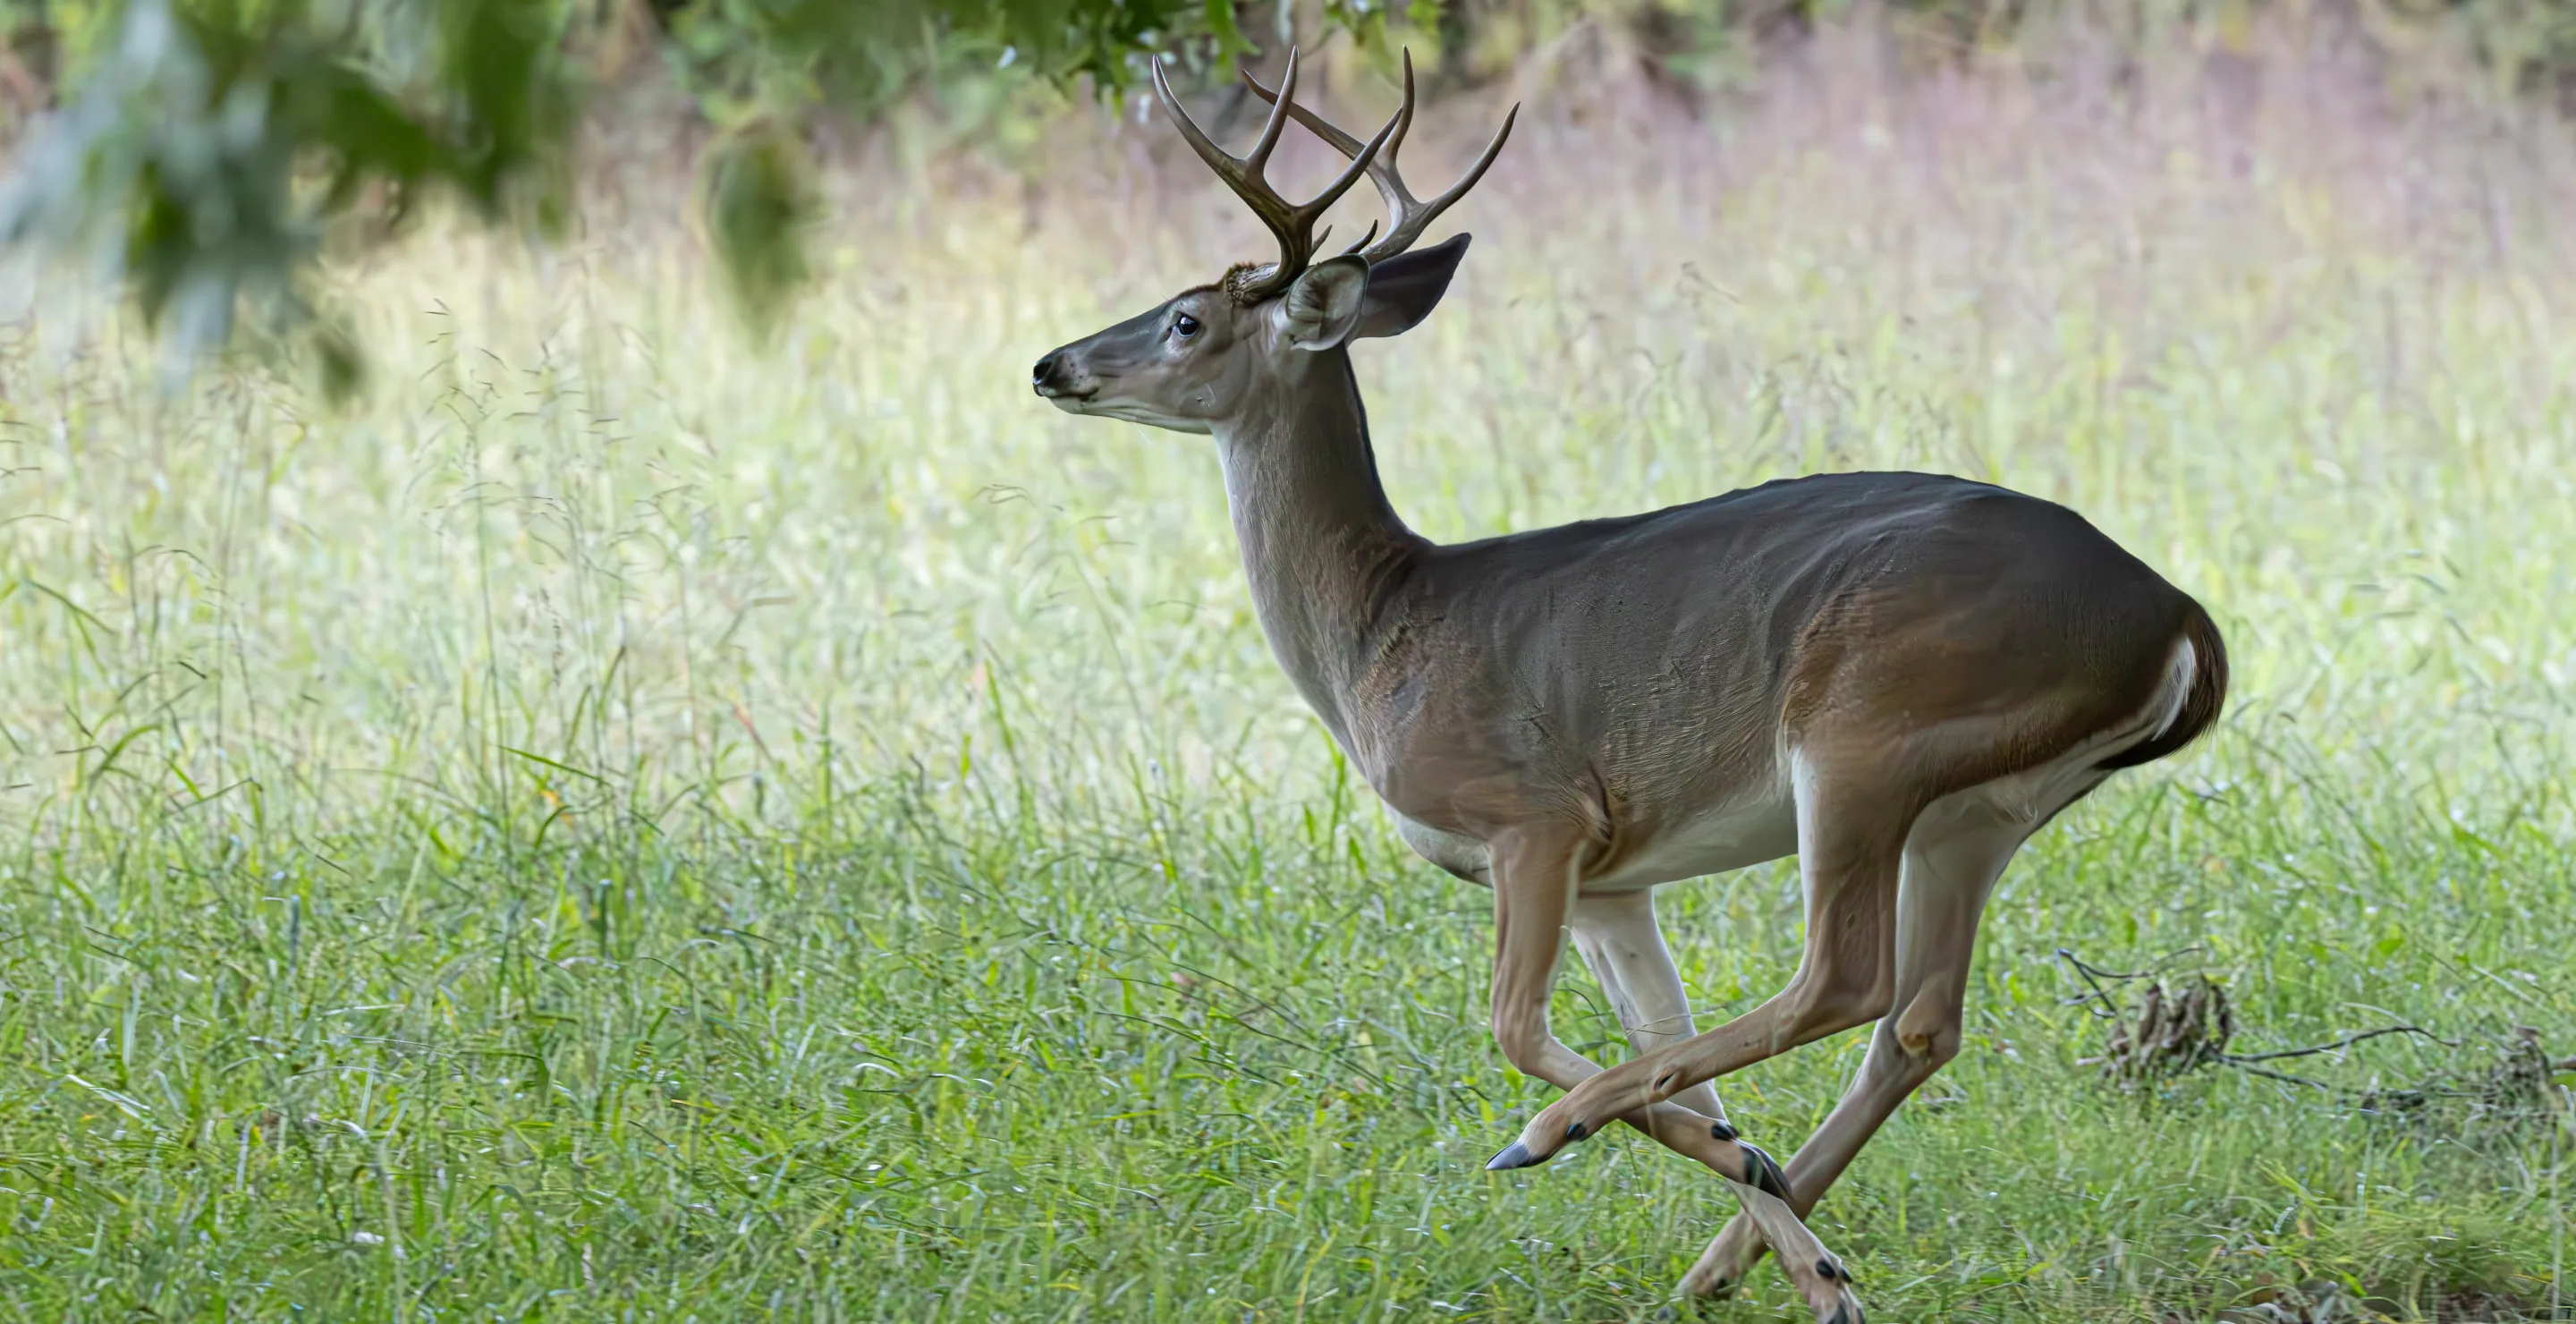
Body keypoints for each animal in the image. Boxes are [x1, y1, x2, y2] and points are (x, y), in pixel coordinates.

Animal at [1035, 46, 2225, 1313]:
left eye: (1186, 317)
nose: (1051, 364)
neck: (1380, 636)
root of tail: (2178, 612)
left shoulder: (1537, 817)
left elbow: (1517, 1027)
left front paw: (1644, 1151)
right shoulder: (1617, 880)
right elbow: (1672, 1047)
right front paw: (1793, 1234)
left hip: (1866, 732)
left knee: (1844, 979)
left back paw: (1555, 1138)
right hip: (1980, 809)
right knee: (1918, 1021)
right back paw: (1738, 1260)